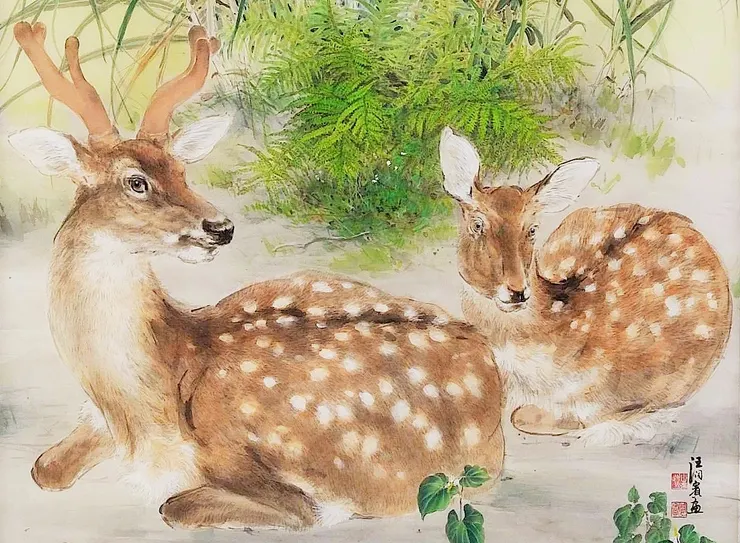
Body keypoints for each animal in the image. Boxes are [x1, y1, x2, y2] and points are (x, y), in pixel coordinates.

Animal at [7, 22, 505, 531]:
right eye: (136, 181)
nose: (220, 228)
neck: (143, 405)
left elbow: (183, 505)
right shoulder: (94, 421)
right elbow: (44, 469)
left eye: (183, 171)